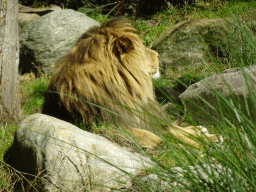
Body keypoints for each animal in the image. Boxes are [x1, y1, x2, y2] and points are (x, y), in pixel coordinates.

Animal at [41, 17, 216, 148]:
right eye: (144, 49)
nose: (157, 54)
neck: (126, 89)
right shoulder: (110, 126)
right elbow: (159, 138)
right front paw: (197, 147)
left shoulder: (142, 116)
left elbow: (172, 131)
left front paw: (208, 139)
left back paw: (201, 130)